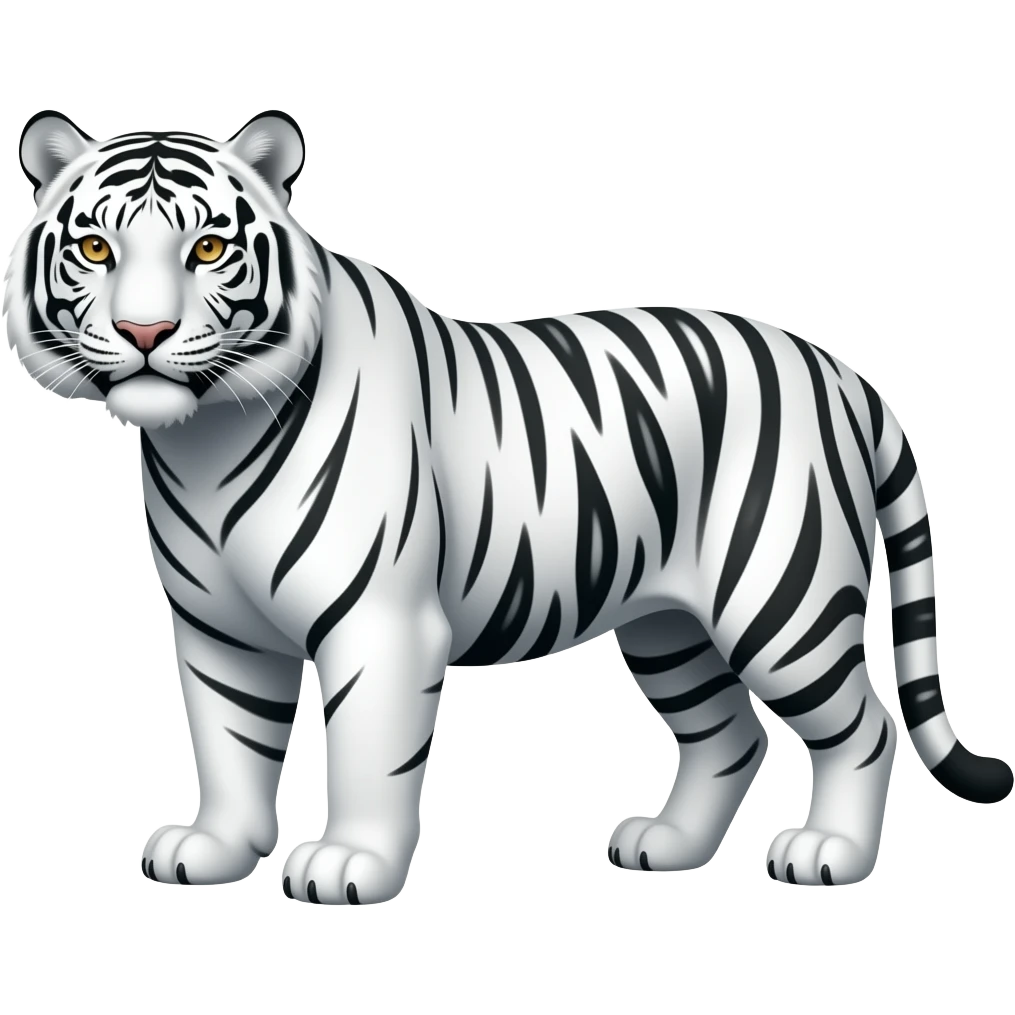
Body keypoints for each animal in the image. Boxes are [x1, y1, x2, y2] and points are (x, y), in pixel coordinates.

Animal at [4, 108, 1010, 904]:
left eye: (207, 248)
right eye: (96, 248)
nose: (144, 331)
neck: (203, 436)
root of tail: (838, 371)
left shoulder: (379, 622)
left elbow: (367, 750)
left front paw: (348, 865)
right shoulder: (219, 629)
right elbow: (228, 740)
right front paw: (213, 851)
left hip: (781, 600)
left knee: (864, 725)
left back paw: (829, 854)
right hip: (668, 624)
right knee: (726, 732)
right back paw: (665, 844)